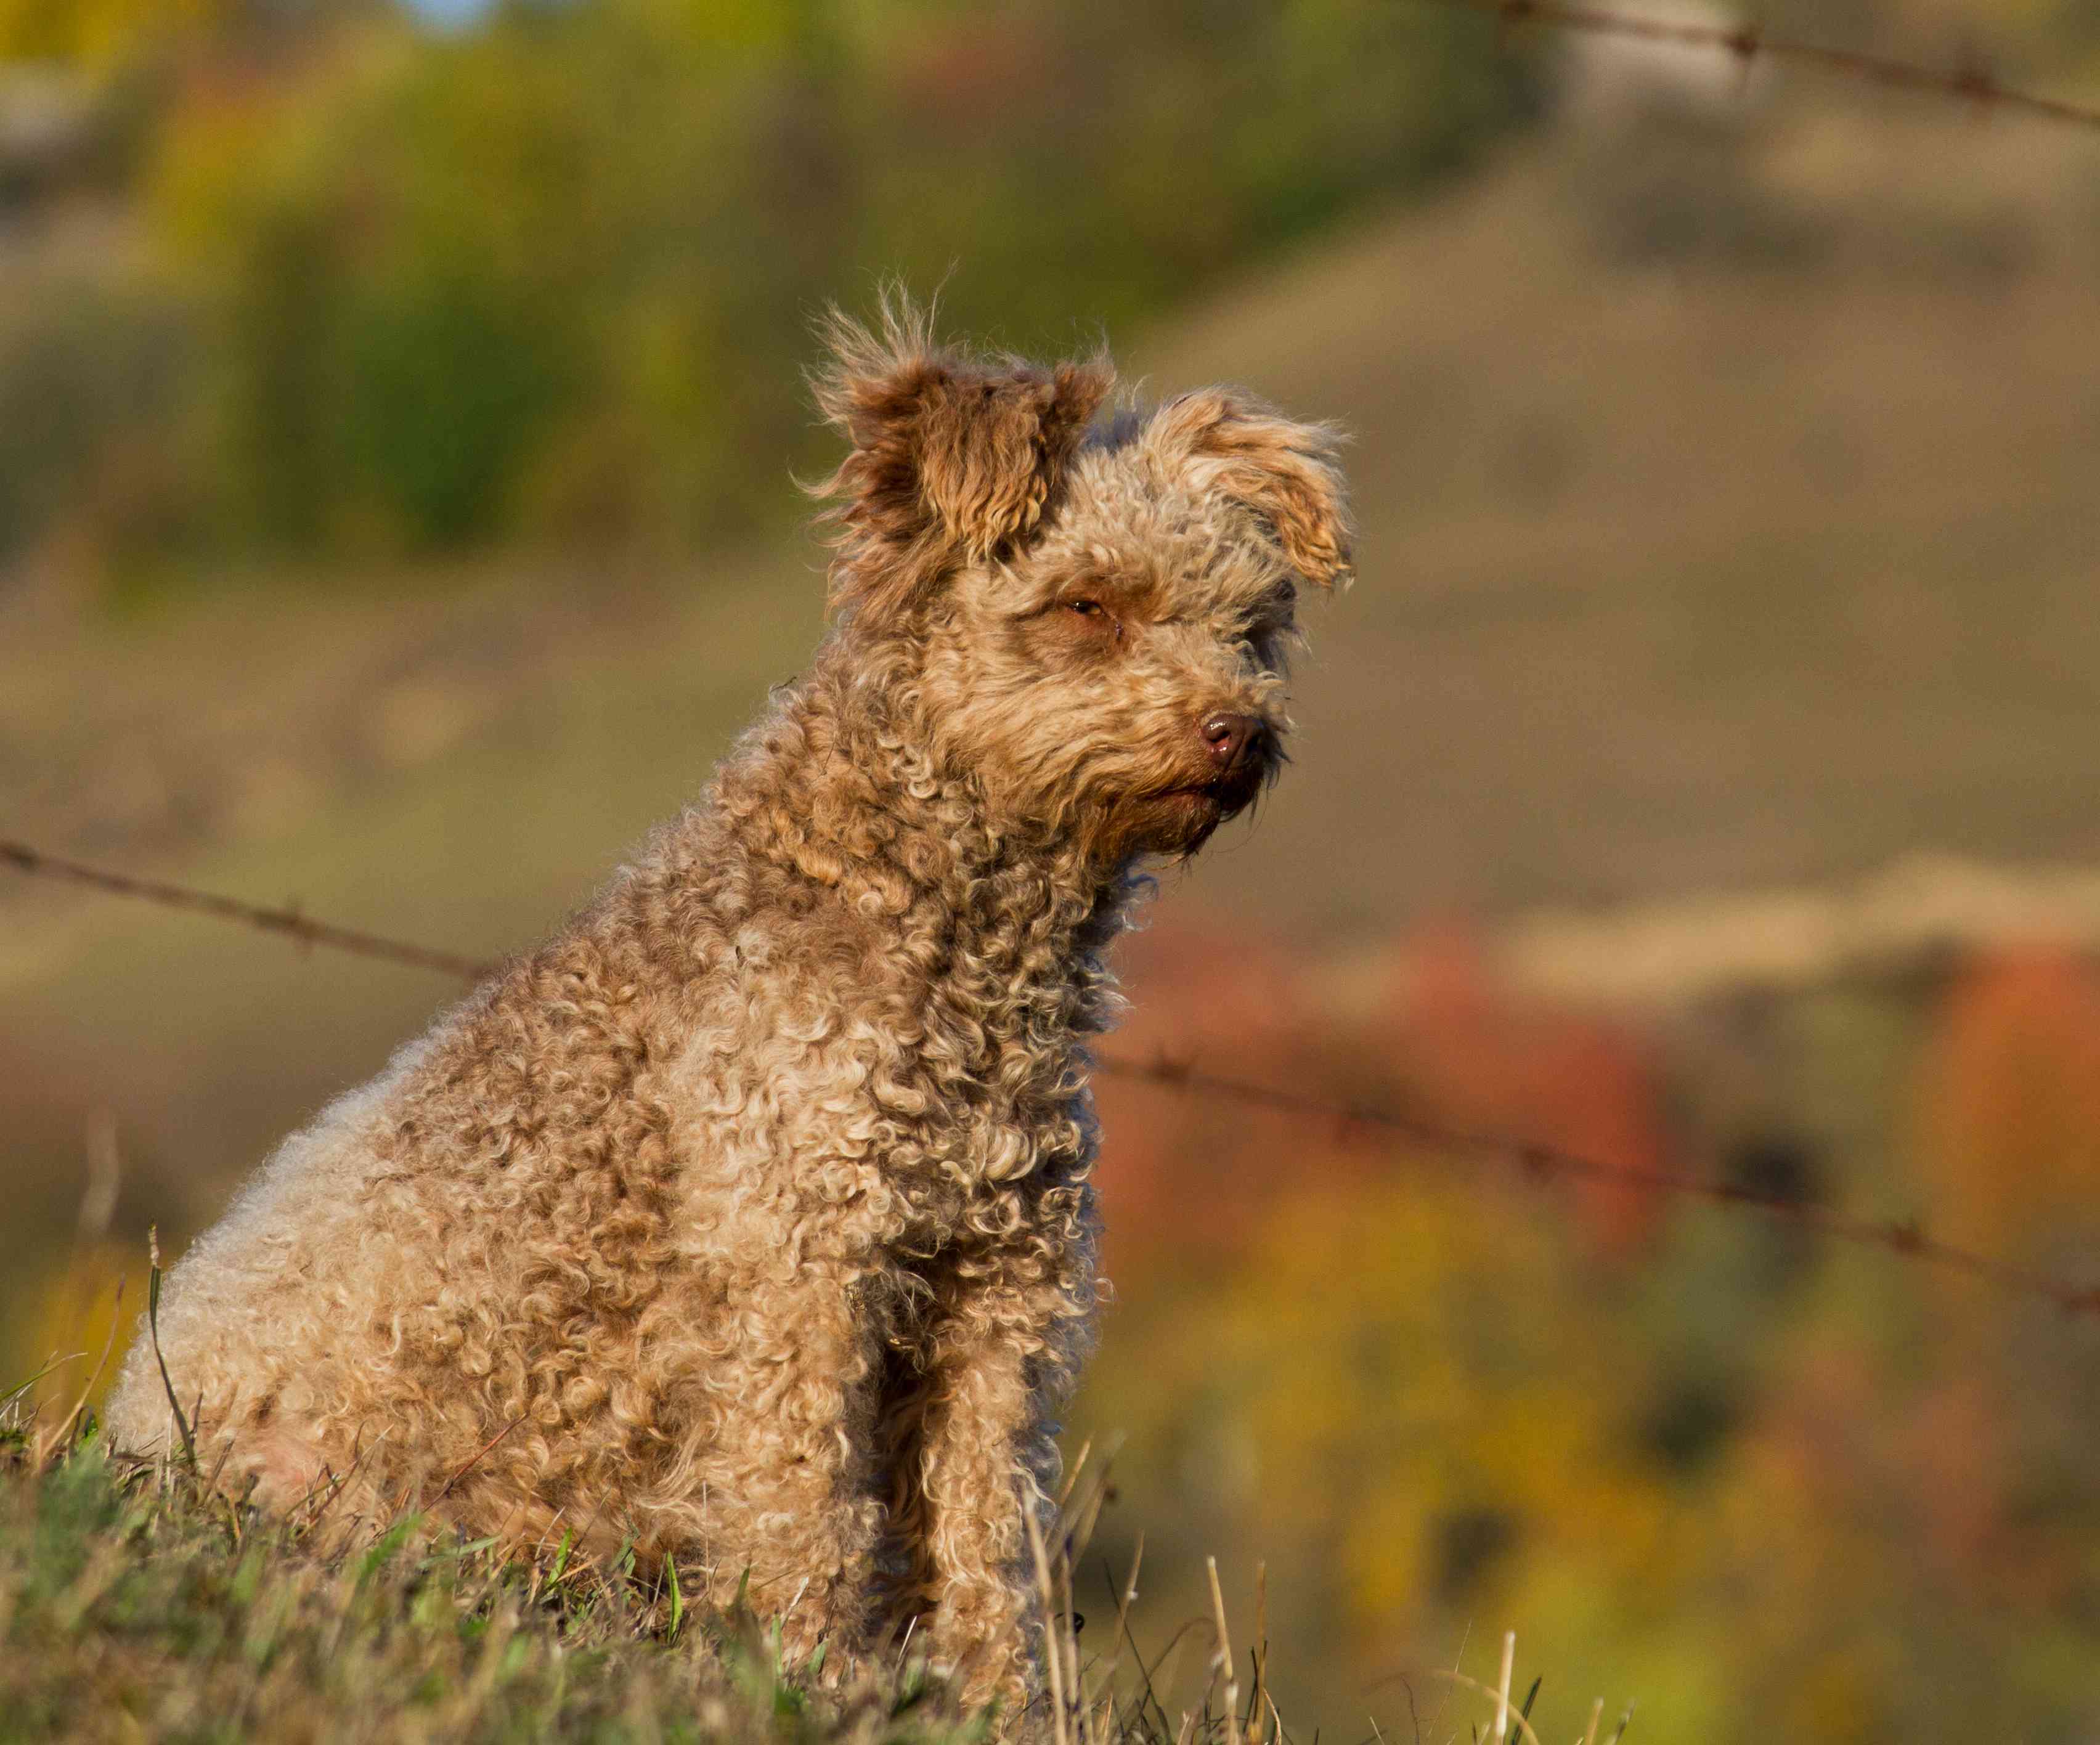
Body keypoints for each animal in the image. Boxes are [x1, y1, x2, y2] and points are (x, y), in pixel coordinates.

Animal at [106, 296, 1352, 1705]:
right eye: (1085, 604)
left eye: (1252, 624)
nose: (1237, 733)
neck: (942, 962)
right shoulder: (796, 1271)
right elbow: (809, 1511)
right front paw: (822, 1686)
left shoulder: (1000, 1290)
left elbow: (986, 1532)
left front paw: (998, 1707)